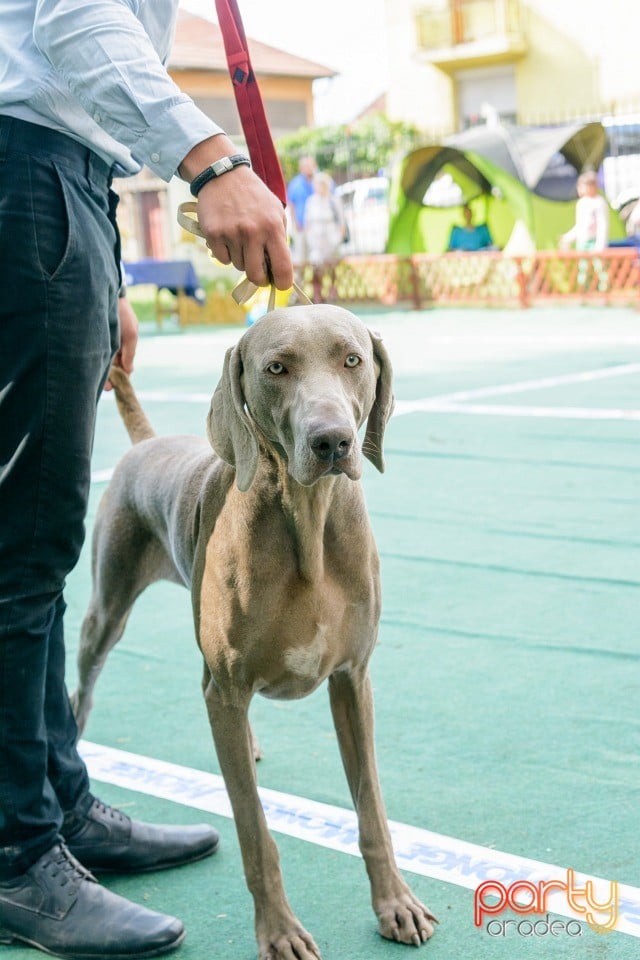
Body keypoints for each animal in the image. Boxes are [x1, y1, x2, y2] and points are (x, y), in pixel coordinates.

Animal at [72, 304, 438, 956]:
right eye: (276, 368)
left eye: (353, 359)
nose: (331, 441)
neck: (307, 521)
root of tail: (149, 441)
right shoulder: (227, 687)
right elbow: (254, 830)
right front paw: (280, 932)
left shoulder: (352, 679)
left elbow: (371, 810)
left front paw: (395, 904)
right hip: (107, 611)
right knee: (86, 681)